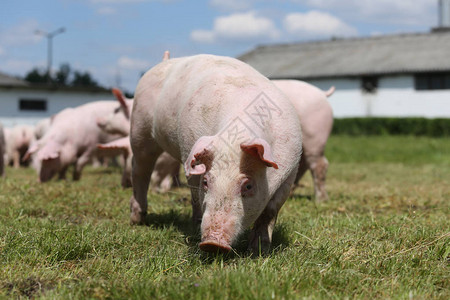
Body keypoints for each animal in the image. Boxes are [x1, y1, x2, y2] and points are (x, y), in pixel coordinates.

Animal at [129, 52, 302, 252]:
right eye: (206, 181)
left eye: (248, 186)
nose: (212, 243)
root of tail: (165, 61)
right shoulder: (189, 150)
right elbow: (196, 195)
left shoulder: (291, 169)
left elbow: (270, 211)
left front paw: (258, 250)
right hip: (139, 126)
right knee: (140, 170)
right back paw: (137, 220)